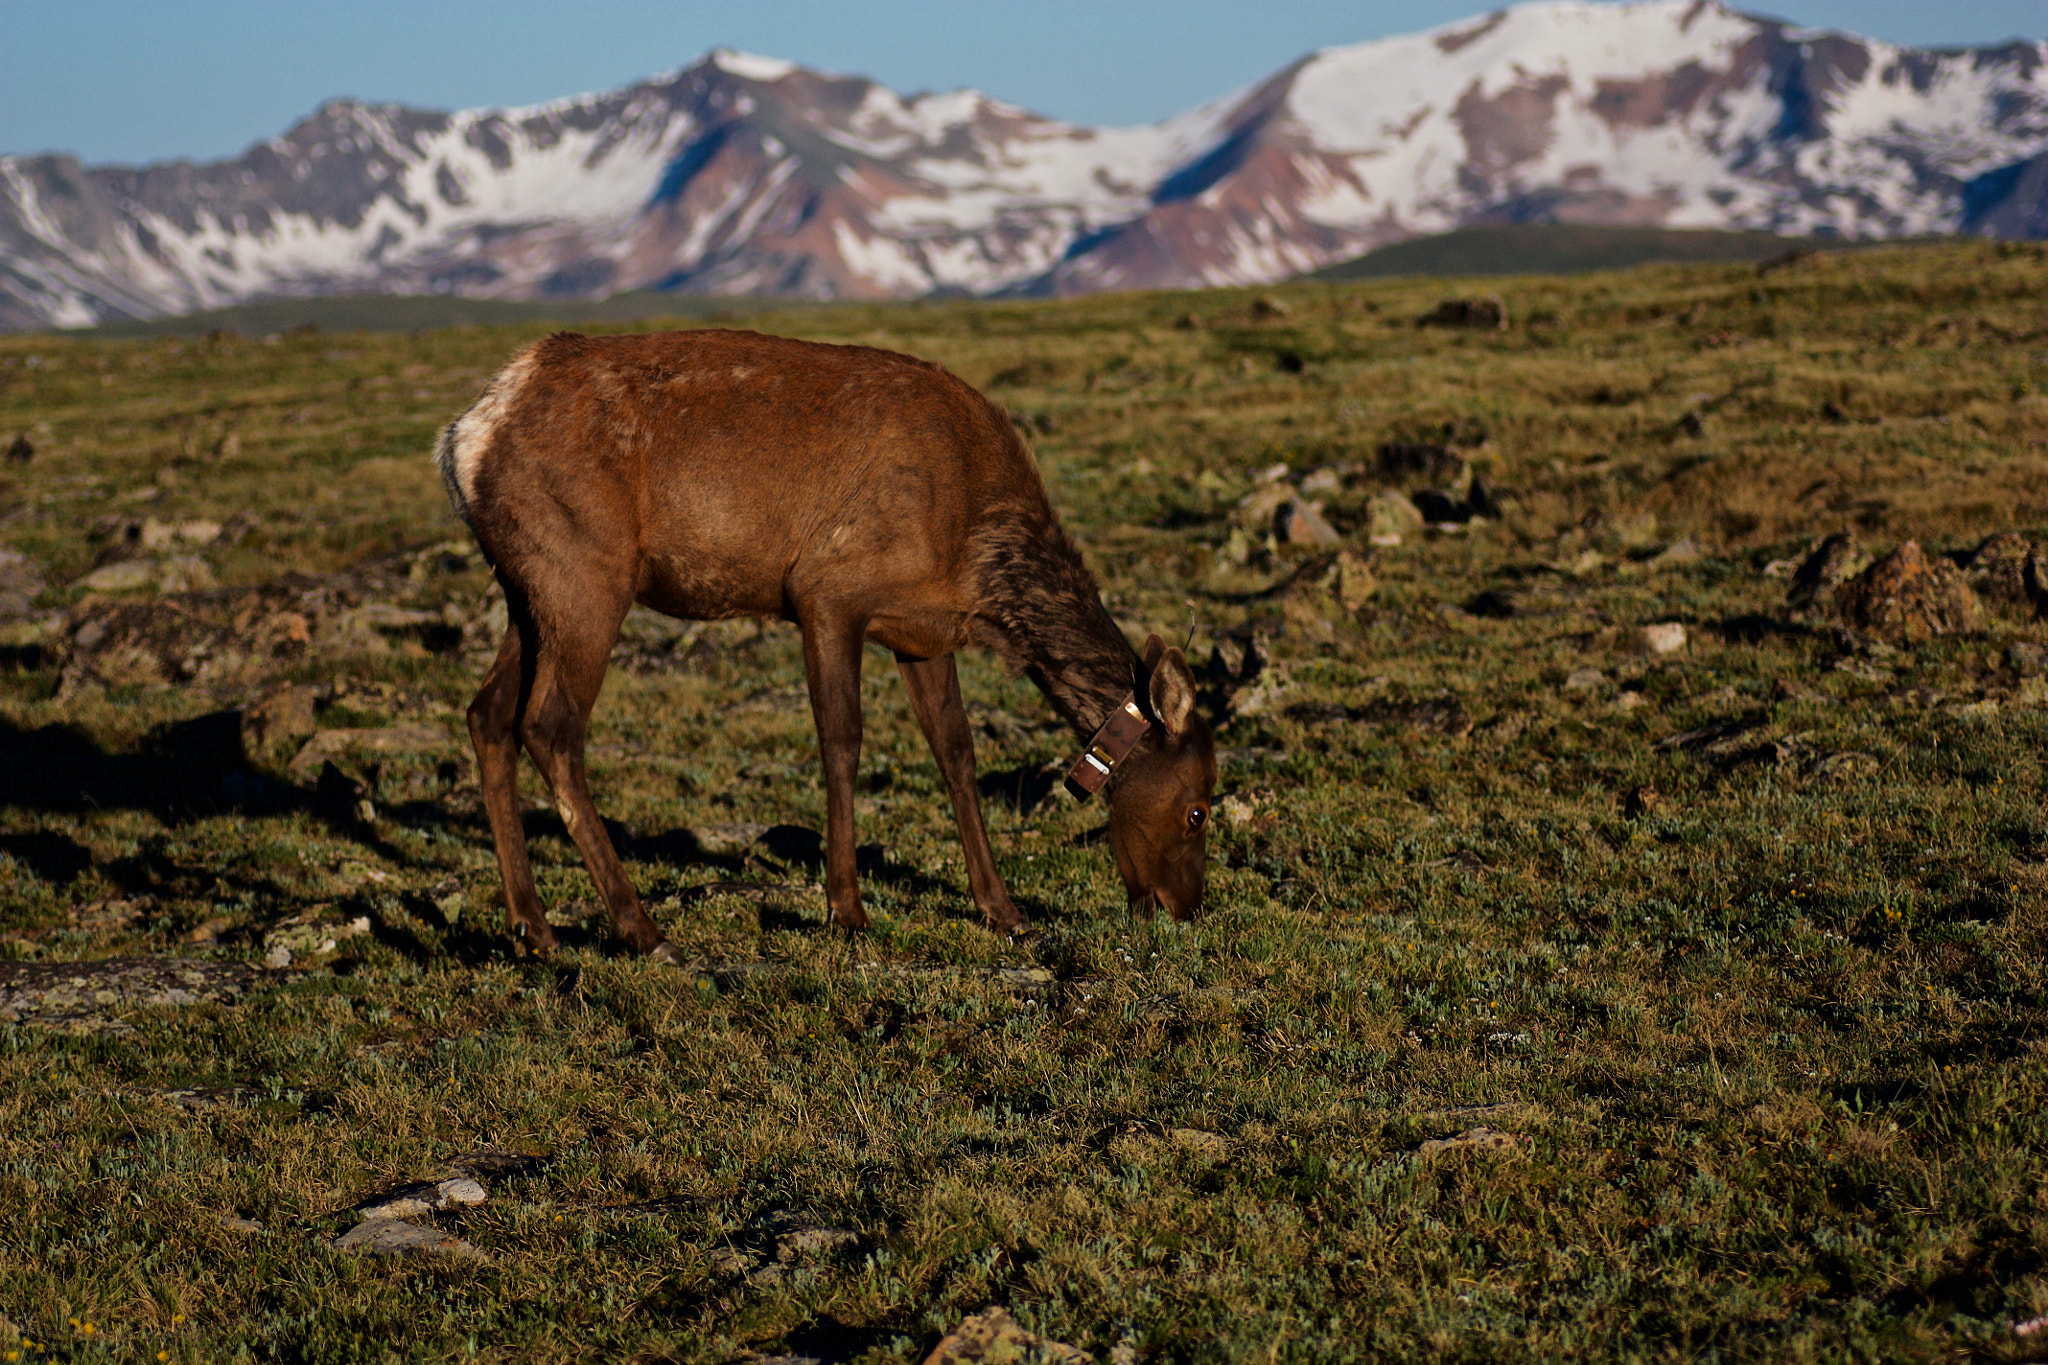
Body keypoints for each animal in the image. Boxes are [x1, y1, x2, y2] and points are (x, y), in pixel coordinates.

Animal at [436, 327, 1212, 961]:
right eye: (1199, 807)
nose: (1185, 909)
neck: (976, 557)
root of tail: (465, 437)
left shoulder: (921, 631)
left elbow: (955, 752)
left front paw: (1004, 910)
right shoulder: (829, 591)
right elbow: (842, 739)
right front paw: (847, 908)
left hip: (526, 591)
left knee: (488, 714)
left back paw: (533, 928)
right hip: (585, 572)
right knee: (550, 725)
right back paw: (640, 928)